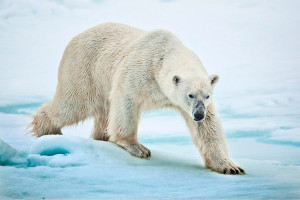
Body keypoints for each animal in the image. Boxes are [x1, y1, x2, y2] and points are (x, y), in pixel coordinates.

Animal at [29, 22, 244, 174]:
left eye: (207, 96)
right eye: (189, 95)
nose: (198, 114)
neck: (164, 55)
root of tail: (75, 38)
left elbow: (209, 127)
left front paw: (230, 166)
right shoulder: (141, 70)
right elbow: (126, 100)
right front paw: (138, 148)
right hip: (85, 69)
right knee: (75, 103)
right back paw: (49, 131)